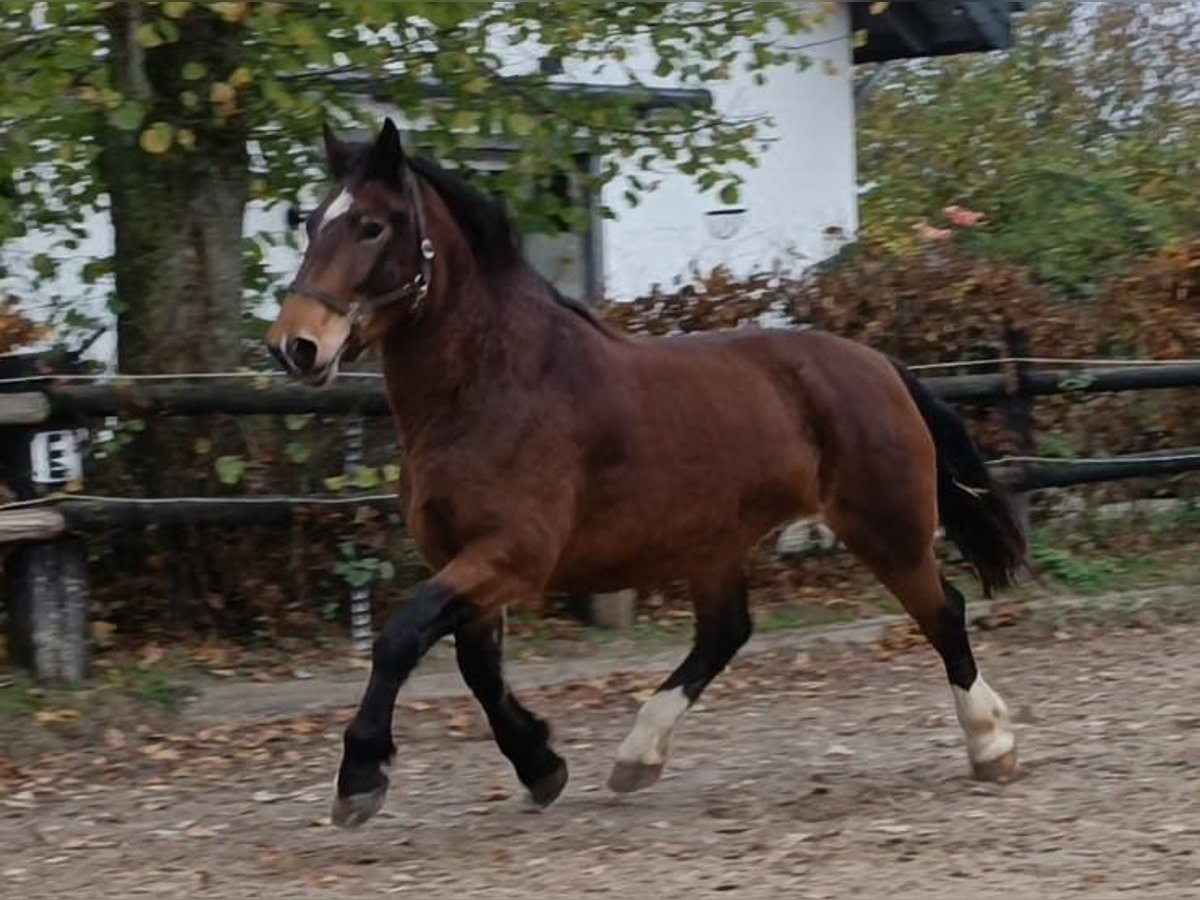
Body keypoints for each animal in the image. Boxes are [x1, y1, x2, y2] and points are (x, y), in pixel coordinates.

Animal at [267, 120, 1027, 830]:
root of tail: (880, 365)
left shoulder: (510, 556)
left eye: (372, 225)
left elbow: (402, 639)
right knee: (725, 634)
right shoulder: (466, 562)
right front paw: (540, 764)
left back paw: (991, 745)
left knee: (942, 611)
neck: (494, 385)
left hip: (884, 525)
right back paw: (638, 755)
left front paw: (360, 779)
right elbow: (474, 666)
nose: (294, 346)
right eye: (310, 220)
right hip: (716, 543)